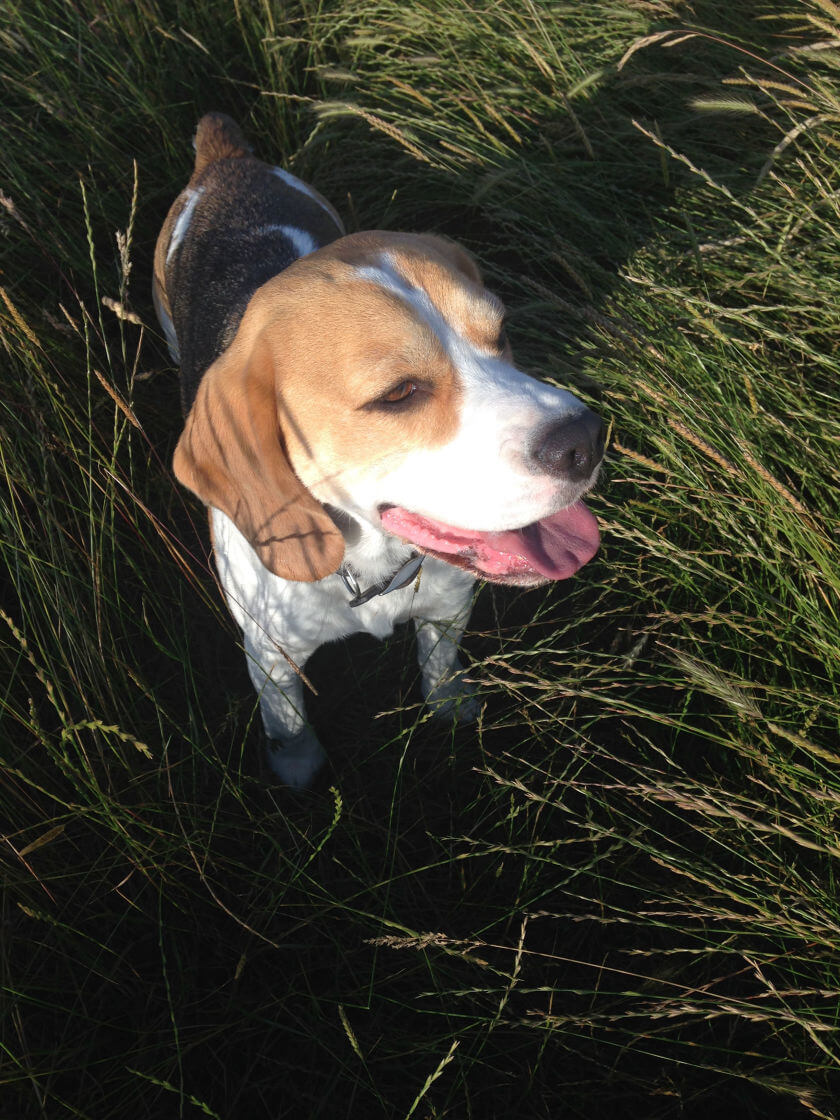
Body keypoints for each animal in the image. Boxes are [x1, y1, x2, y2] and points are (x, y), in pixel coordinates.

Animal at [156, 113, 604, 788]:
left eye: (502, 333)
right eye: (398, 394)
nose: (586, 440)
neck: (369, 566)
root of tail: (225, 157)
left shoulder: (448, 606)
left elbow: (438, 661)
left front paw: (450, 705)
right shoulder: (269, 651)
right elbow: (287, 718)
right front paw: (298, 768)